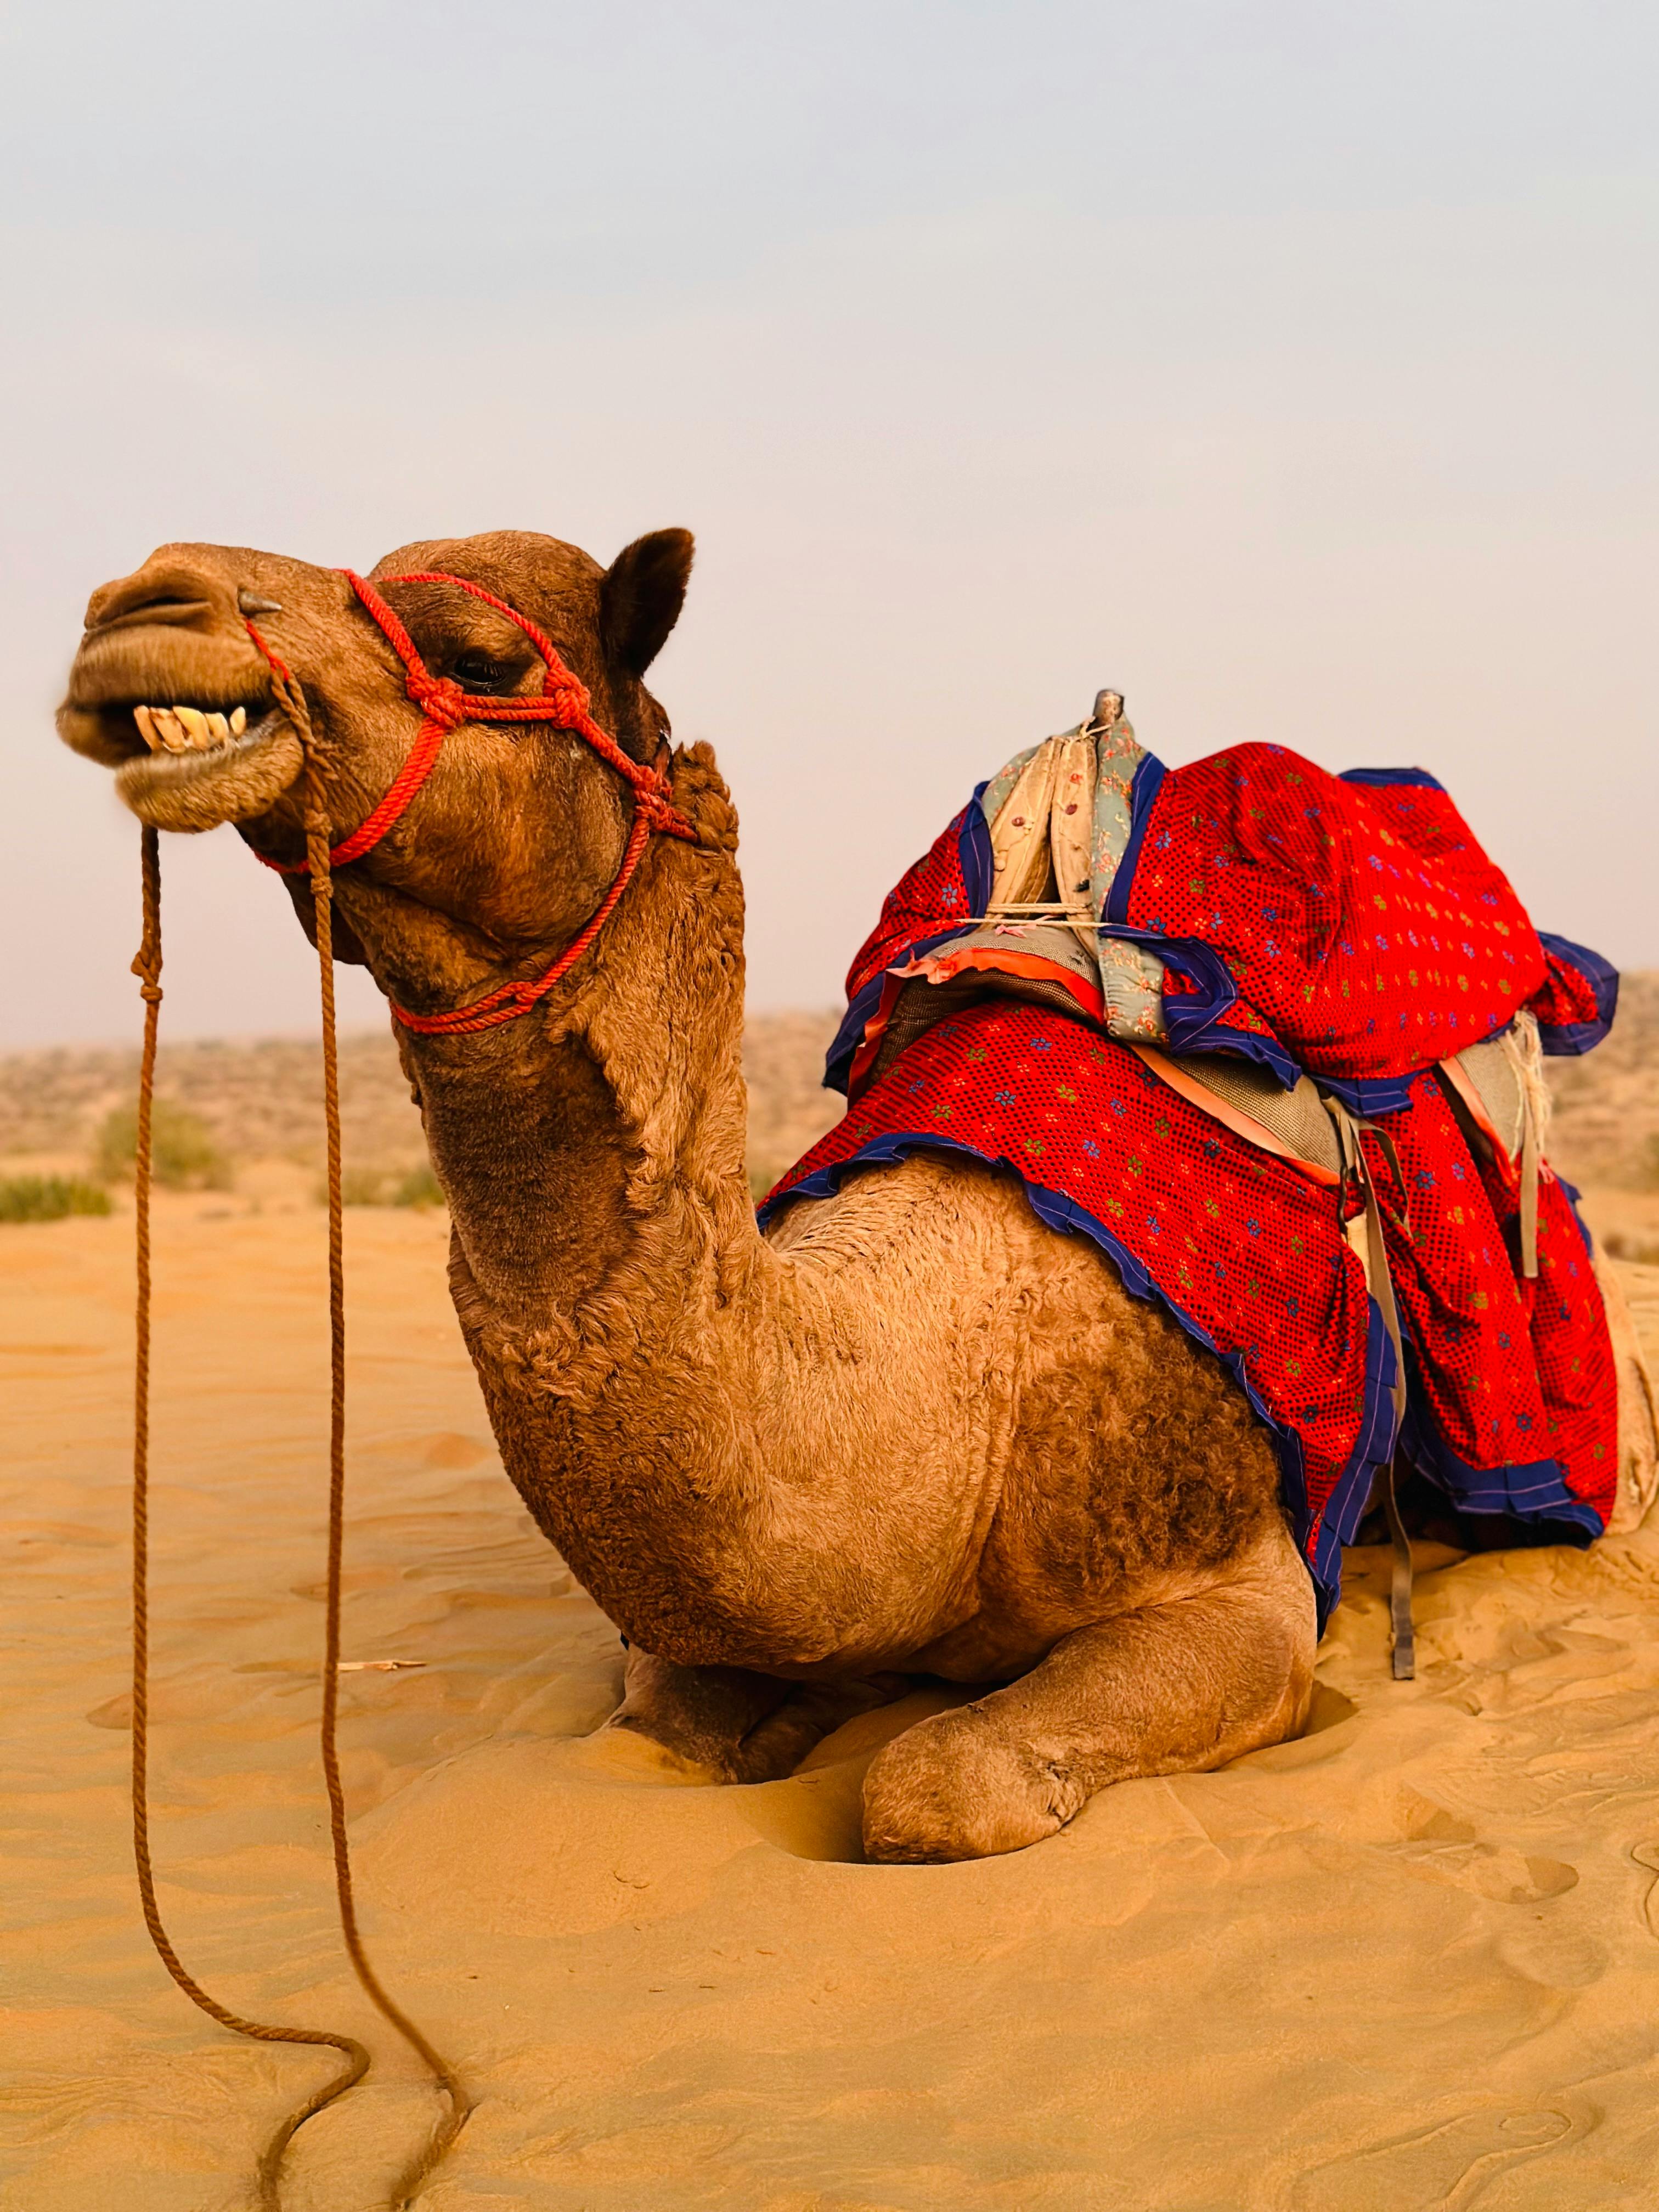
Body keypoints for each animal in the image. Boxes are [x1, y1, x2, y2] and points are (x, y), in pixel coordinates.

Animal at [57, 528, 1653, 1865]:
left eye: (480, 656)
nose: (145, 605)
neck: (947, 1400)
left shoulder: (1240, 1588)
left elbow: (932, 1785)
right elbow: (652, 1735)